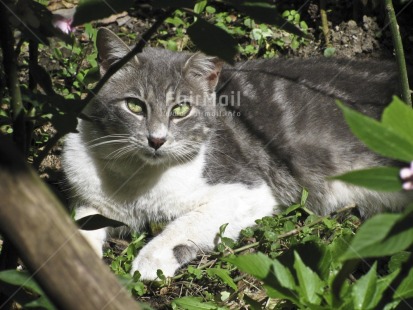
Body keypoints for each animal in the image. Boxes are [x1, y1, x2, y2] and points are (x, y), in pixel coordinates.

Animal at [59, 27, 410, 280]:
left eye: (181, 109)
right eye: (134, 105)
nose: (156, 140)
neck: (140, 179)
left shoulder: (250, 190)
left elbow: (187, 223)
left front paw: (149, 260)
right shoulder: (90, 194)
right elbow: (76, 227)